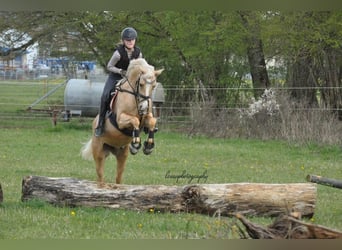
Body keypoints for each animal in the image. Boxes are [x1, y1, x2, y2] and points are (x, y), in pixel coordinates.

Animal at [81, 58, 164, 187]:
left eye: (154, 86)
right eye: (141, 84)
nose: (144, 107)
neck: (135, 98)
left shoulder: (146, 117)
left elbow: (152, 122)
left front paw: (148, 146)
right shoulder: (120, 120)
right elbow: (135, 120)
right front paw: (135, 144)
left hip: (122, 155)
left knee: (118, 177)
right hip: (99, 153)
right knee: (100, 176)